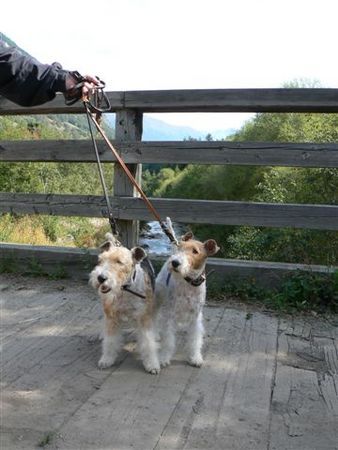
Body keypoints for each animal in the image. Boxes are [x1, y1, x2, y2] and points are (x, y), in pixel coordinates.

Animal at [88, 234, 160, 374]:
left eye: (119, 262)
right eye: (100, 260)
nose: (101, 278)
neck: (125, 290)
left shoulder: (144, 318)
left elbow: (148, 342)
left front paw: (152, 364)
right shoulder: (112, 317)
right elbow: (110, 341)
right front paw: (106, 360)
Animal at [155, 234, 219, 368]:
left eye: (195, 251)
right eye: (181, 247)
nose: (175, 262)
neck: (189, 282)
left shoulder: (195, 316)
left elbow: (195, 340)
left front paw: (195, 358)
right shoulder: (170, 315)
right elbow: (168, 341)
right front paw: (164, 358)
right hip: (159, 299)